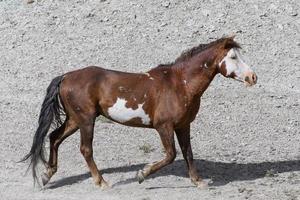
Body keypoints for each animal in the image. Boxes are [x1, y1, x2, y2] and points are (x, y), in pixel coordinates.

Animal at [19, 36, 256, 189]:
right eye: (233, 57)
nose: (252, 77)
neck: (180, 84)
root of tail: (66, 76)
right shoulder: (164, 126)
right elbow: (171, 155)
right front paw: (142, 174)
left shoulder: (183, 126)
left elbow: (188, 152)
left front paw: (198, 182)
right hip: (86, 120)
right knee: (85, 149)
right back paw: (101, 182)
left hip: (75, 119)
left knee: (54, 137)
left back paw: (47, 175)